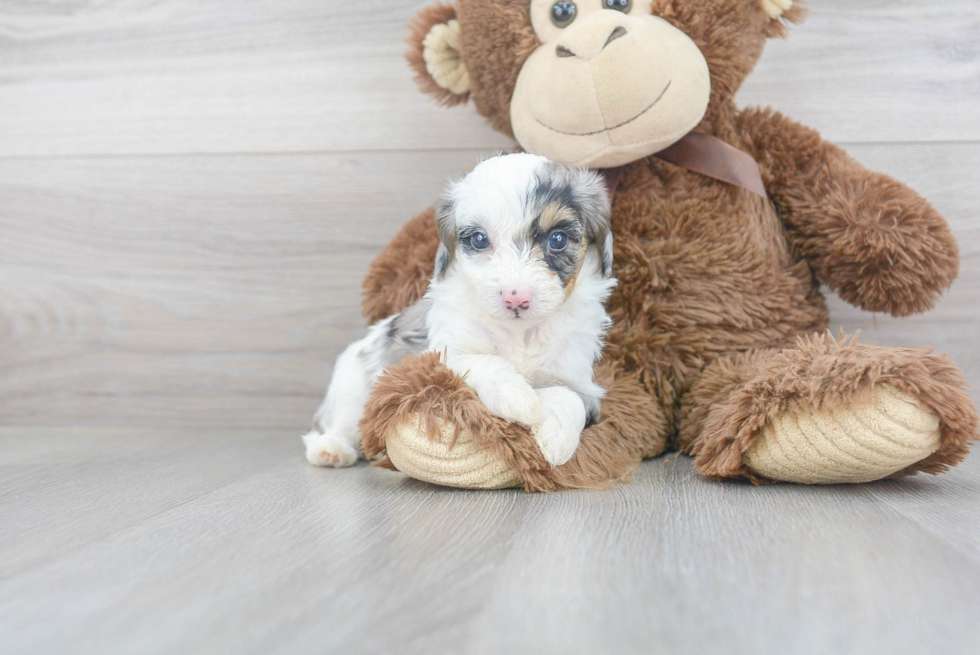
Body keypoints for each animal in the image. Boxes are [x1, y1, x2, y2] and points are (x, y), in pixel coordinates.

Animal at [302, 152, 616, 472]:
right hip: (351, 386)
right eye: (479, 240)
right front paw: (516, 397)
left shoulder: (578, 379)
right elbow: (483, 361)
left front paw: (556, 440)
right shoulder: (436, 354)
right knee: (338, 424)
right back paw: (331, 450)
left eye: (558, 239)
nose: (516, 298)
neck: (519, 334)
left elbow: (569, 397)